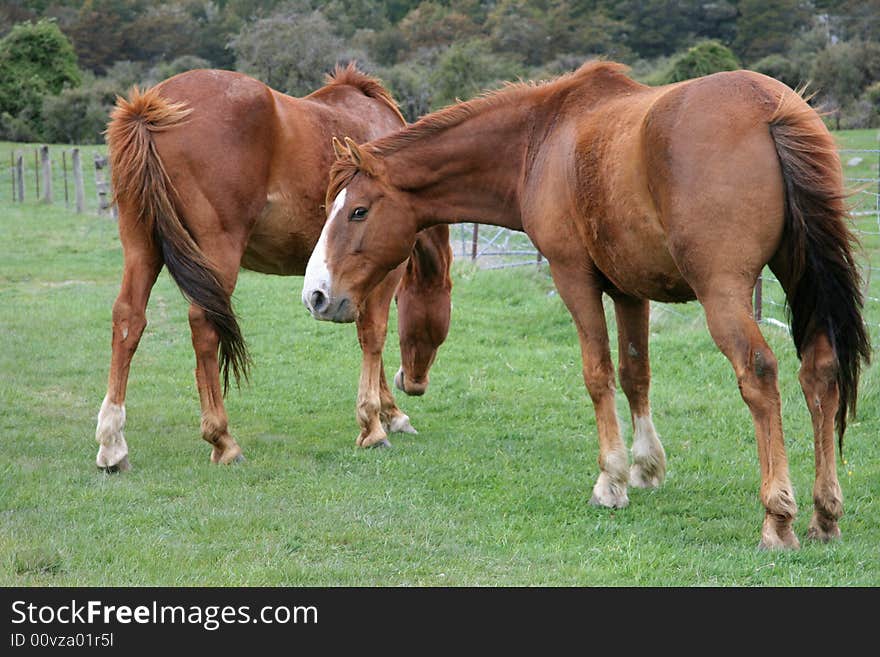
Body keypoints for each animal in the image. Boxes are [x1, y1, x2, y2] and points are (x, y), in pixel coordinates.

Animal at [97, 64, 454, 468]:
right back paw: (222, 439)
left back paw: (112, 443)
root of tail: (149, 109)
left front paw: (388, 413)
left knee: (129, 319)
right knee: (203, 326)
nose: (413, 383)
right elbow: (373, 335)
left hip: (142, 247)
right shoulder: (383, 273)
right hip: (217, 252)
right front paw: (377, 423)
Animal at [306, 61, 868, 544]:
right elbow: (635, 373)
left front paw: (611, 480)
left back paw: (778, 516)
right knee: (819, 373)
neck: (541, 139)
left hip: (723, 293)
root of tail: (771, 108)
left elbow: (597, 373)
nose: (316, 294)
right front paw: (646, 467)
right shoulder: (628, 291)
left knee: (759, 373)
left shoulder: (573, 277)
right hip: (799, 279)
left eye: (357, 211)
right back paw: (824, 513)